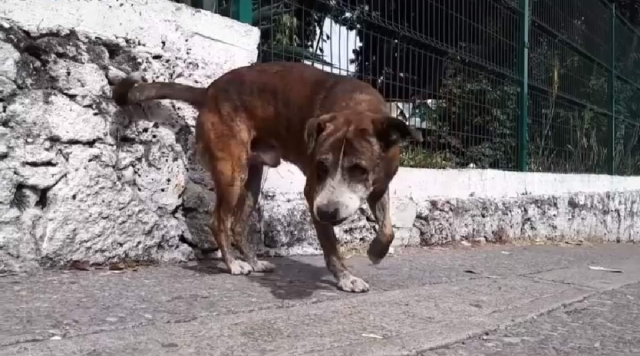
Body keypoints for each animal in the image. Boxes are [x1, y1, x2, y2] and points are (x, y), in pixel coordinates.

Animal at [112, 62, 422, 292]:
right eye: (321, 167)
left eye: (359, 169)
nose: (326, 212)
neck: (358, 106)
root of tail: (209, 90)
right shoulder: (313, 193)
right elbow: (331, 245)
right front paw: (345, 278)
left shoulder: (380, 187)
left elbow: (388, 229)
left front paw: (377, 252)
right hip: (232, 172)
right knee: (219, 221)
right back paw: (234, 264)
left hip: (253, 178)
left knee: (238, 223)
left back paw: (253, 261)